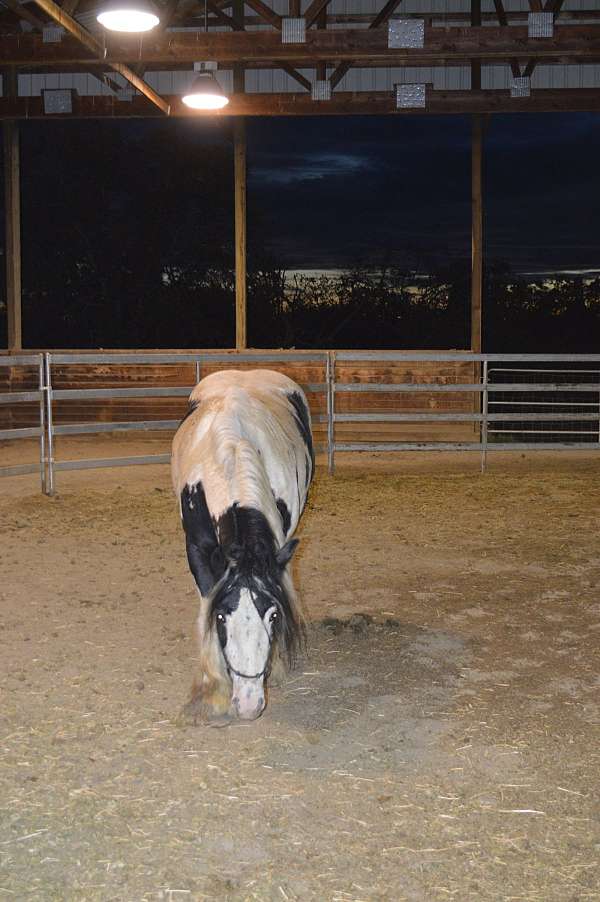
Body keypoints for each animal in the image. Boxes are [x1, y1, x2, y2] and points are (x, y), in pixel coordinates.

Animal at [170, 370, 314, 724]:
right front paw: (213, 687)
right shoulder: (198, 551)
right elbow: (205, 605)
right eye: (222, 618)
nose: (249, 705)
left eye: (273, 616)